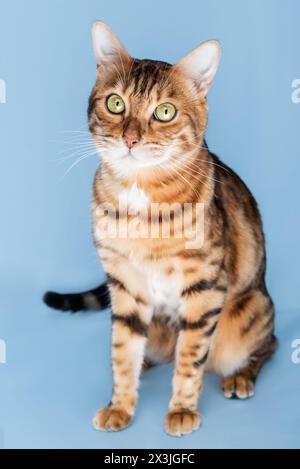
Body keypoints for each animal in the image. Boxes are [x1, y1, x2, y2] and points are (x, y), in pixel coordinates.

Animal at [42, 22, 276, 436]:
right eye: (115, 104)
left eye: (164, 112)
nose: (130, 139)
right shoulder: (124, 283)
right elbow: (122, 350)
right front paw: (120, 405)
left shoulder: (204, 287)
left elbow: (191, 358)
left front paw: (182, 409)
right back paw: (148, 360)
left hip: (250, 313)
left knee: (268, 344)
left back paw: (239, 377)